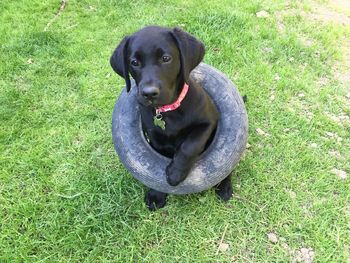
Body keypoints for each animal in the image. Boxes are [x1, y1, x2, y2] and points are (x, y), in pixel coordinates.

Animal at [110, 25, 234, 210]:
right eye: (134, 62)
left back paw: (224, 186)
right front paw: (157, 194)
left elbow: (190, 145)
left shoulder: (210, 121)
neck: (168, 111)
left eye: (166, 58)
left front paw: (176, 173)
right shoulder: (155, 137)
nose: (149, 93)